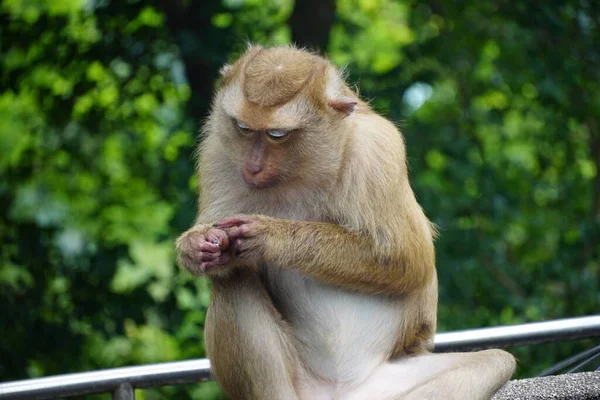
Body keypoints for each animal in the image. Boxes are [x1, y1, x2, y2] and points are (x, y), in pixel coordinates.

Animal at [175, 45, 516, 398]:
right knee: (233, 281)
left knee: (495, 361)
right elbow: (222, 261)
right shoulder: (217, 153)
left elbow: (407, 258)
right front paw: (196, 246)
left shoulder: (376, 149)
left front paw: (268, 236)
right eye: (243, 128)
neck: (299, 172)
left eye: (276, 134)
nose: (252, 166)